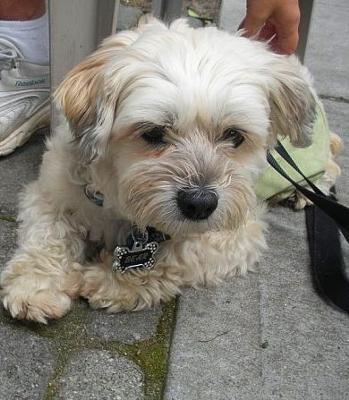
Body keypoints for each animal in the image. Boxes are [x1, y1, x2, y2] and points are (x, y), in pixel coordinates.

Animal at [0, 18, 326, 324]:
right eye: (154, 133)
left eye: (234, 135)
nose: (200, 204)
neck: (121, 200)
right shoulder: (49, 194)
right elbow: (47, 237)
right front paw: (35, 286)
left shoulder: (238, 232)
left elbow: (176, 256)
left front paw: (111, 281)